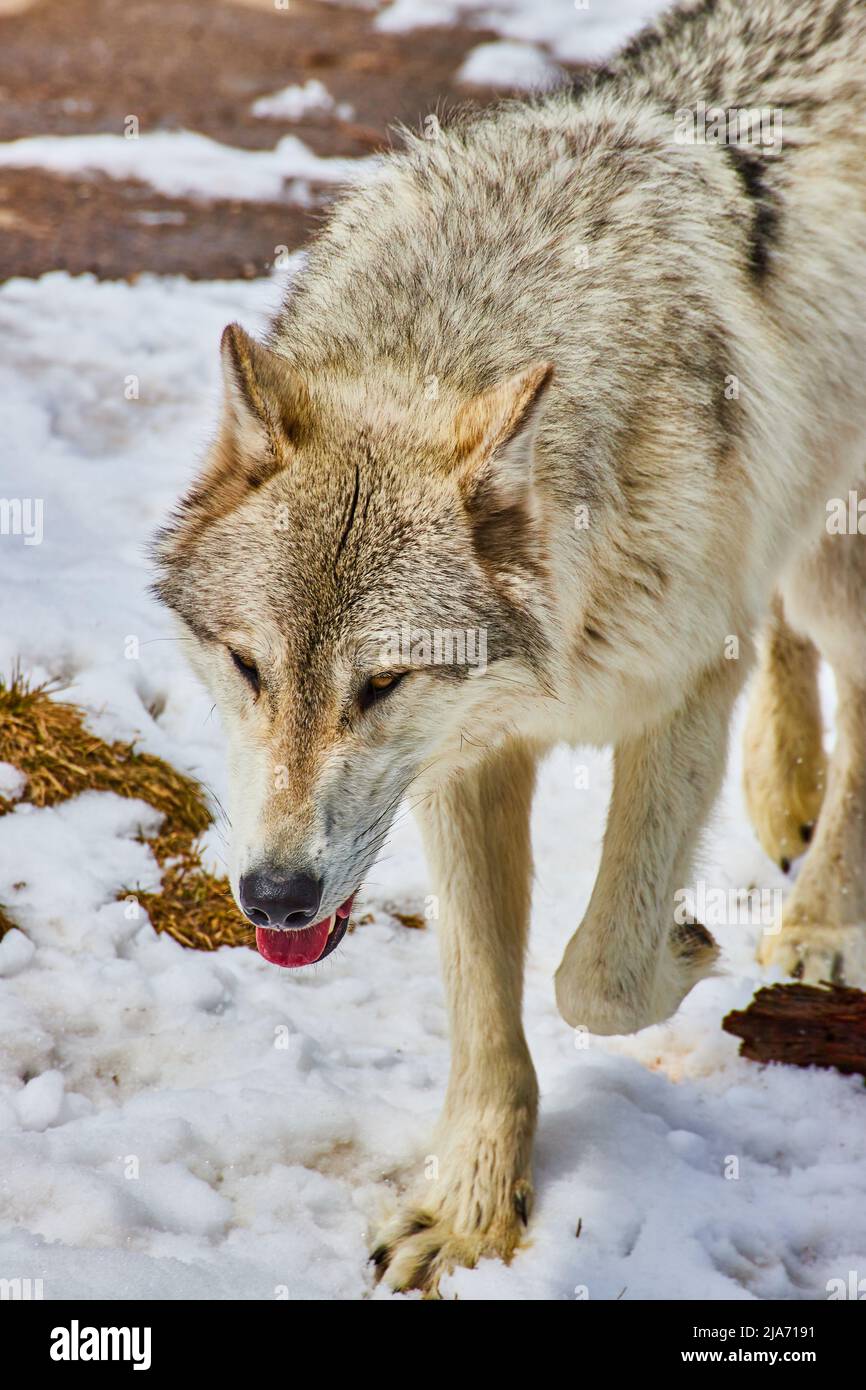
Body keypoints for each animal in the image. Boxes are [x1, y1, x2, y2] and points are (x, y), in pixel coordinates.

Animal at [154, 0, 866, 1293]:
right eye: (248, 667)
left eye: (380, 682)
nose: (273, 896)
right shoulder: (470, 757)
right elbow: (484, 1016)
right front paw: (472, 1214)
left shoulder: (682, 685)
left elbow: (595, 974)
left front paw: (688, 948)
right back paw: (780, 788)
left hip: (836, 553)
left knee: (853, 682)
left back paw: (821, 921)